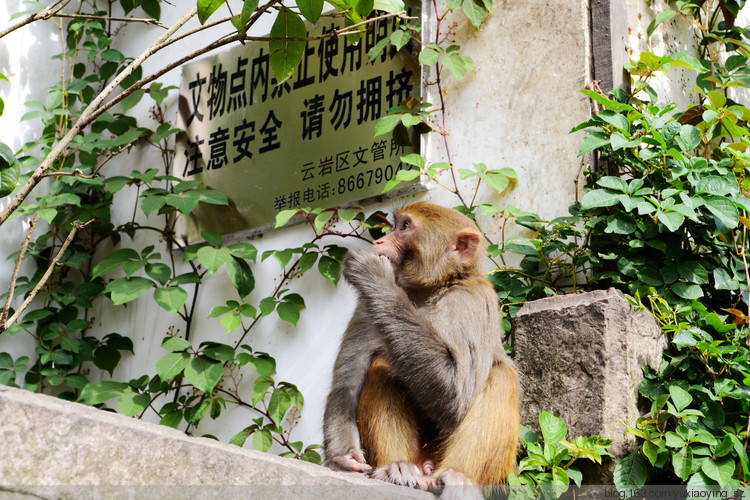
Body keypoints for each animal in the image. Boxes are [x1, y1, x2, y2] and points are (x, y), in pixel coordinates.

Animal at [324, 202, 524, 496]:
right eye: (396, 225)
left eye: (405, 227)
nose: (379, 241)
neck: (427, 291)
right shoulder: (364, 310)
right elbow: (347, 387)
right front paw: (342, 456)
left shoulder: (473, 301)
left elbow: (455, 396)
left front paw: (376, 277)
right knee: (381, 365)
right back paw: (398, 467)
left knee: (500, 376)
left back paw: (458, 476)